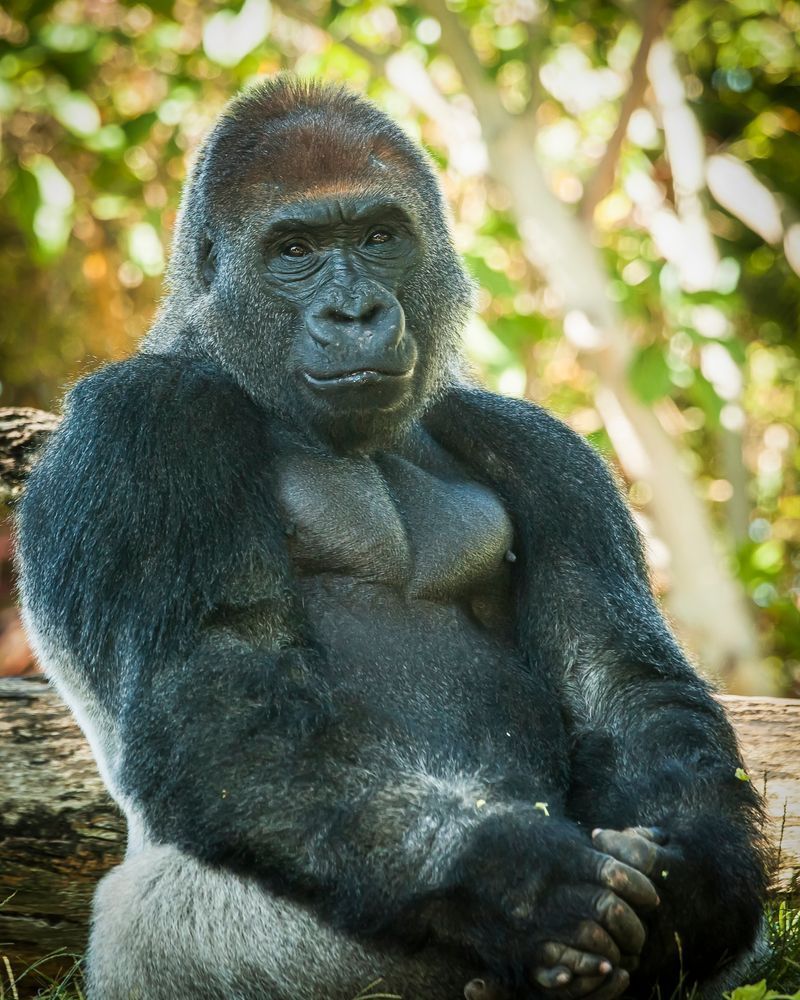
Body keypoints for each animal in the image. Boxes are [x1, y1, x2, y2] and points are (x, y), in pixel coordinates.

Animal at [16, 78, 767, 1000]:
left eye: (379, 238)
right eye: (295, 249)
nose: (356, 312)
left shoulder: (550, 453)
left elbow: (622, 685)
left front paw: (688, 890)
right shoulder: (142, 424)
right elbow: (220, 695)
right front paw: (514, 877)